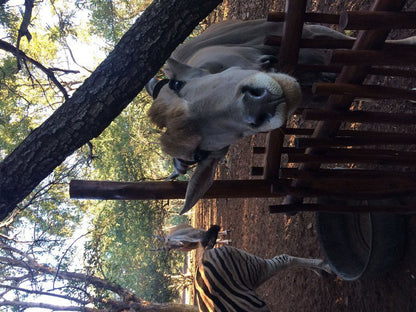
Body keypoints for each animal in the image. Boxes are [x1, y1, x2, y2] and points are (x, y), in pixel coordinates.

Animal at [193, 225, 330, 310]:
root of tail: (203, 256)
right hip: (253, 276)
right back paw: (322, 268)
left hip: (252, 268)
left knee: (284, 259)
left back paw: (324, 266)